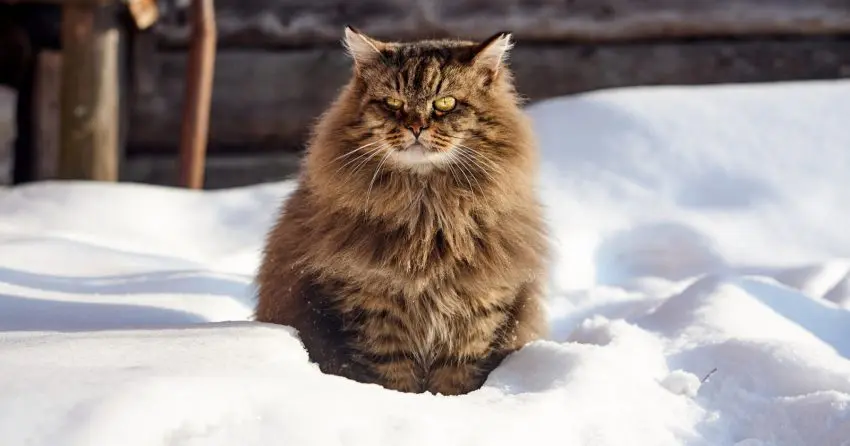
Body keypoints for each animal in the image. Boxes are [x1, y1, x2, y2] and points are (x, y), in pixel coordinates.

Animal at [255, 26, 548, 396]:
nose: (416, 127)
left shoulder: (479, 309)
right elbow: (393, 377)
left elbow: (456, 377)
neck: (428, 215)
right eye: (393, 103)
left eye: (445, 103)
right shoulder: (372, 307)